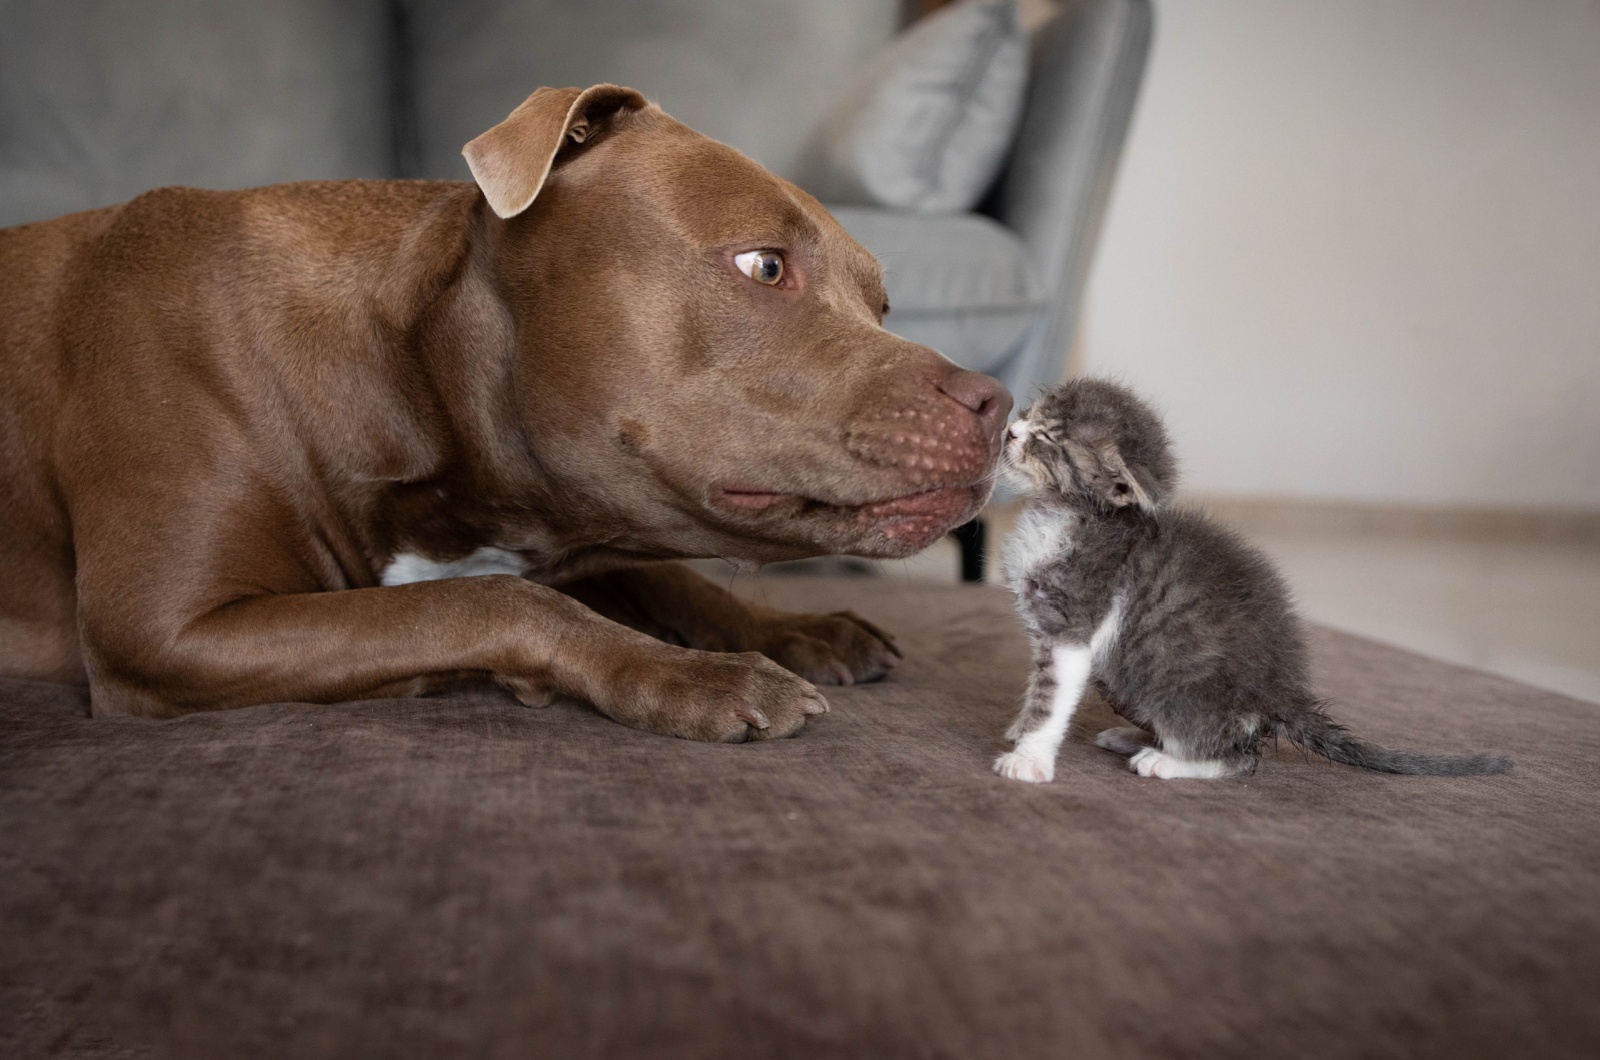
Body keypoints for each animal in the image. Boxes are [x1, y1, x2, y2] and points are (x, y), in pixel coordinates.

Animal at [0, 83, 1004, 742]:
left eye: (880, 304)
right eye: (764, 267)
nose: (999, 405)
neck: (404, 372)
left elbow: (659, 575)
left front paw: (787, 629)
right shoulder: (164, 635)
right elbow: (484, 600)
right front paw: (690, 675)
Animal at [992, 377, 1504, 784]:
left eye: (1048, 438)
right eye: (1033, 413)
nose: (1010, 430)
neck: (1065, 513)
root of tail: (1280, 693)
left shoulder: (1073, 626)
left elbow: (1051, 698)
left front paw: (1029, 759)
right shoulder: (1047, 627)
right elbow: (1038, 688)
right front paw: (1020, 733)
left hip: (1169, 682)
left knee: (1240, 759)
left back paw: (1166, 761)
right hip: (1125, 683)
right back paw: (1137, 739)